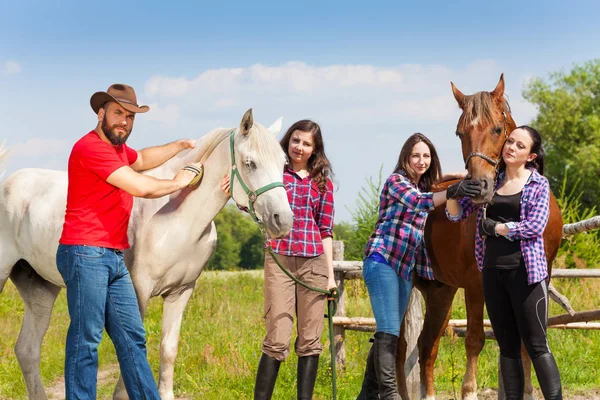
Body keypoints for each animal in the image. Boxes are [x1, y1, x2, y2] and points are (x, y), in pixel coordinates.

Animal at [0, 109, 292, 400]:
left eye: (283, 163)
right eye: (250, 163)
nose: (283, 220)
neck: (177, 217)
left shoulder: (181, 292)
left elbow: (168, 348)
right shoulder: (139, 289)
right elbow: (129, 346)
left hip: (40, 289)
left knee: (27, 350)